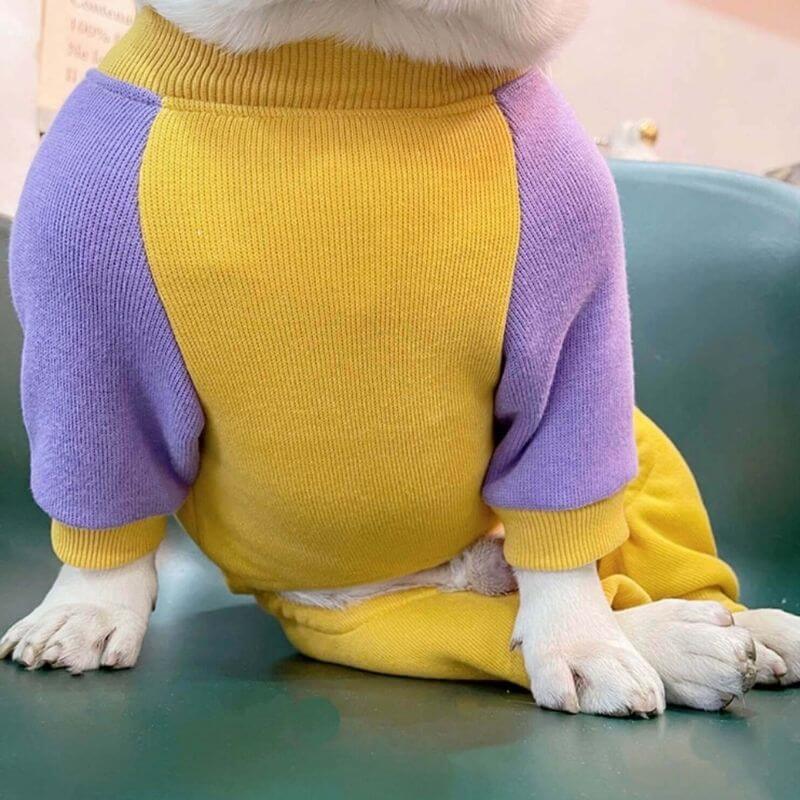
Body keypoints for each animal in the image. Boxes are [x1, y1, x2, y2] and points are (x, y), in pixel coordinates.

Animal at [2, 0, 799, 717]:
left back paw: (734, 629)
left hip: (648, 454)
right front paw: (88, 608)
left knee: (620, 574)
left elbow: (564, 532)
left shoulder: (575, 330)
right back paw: (680, 642)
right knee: (482, 630)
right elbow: (103, 489)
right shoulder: (87, 332)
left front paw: (583, 644)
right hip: (375, 625)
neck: (353, 61)